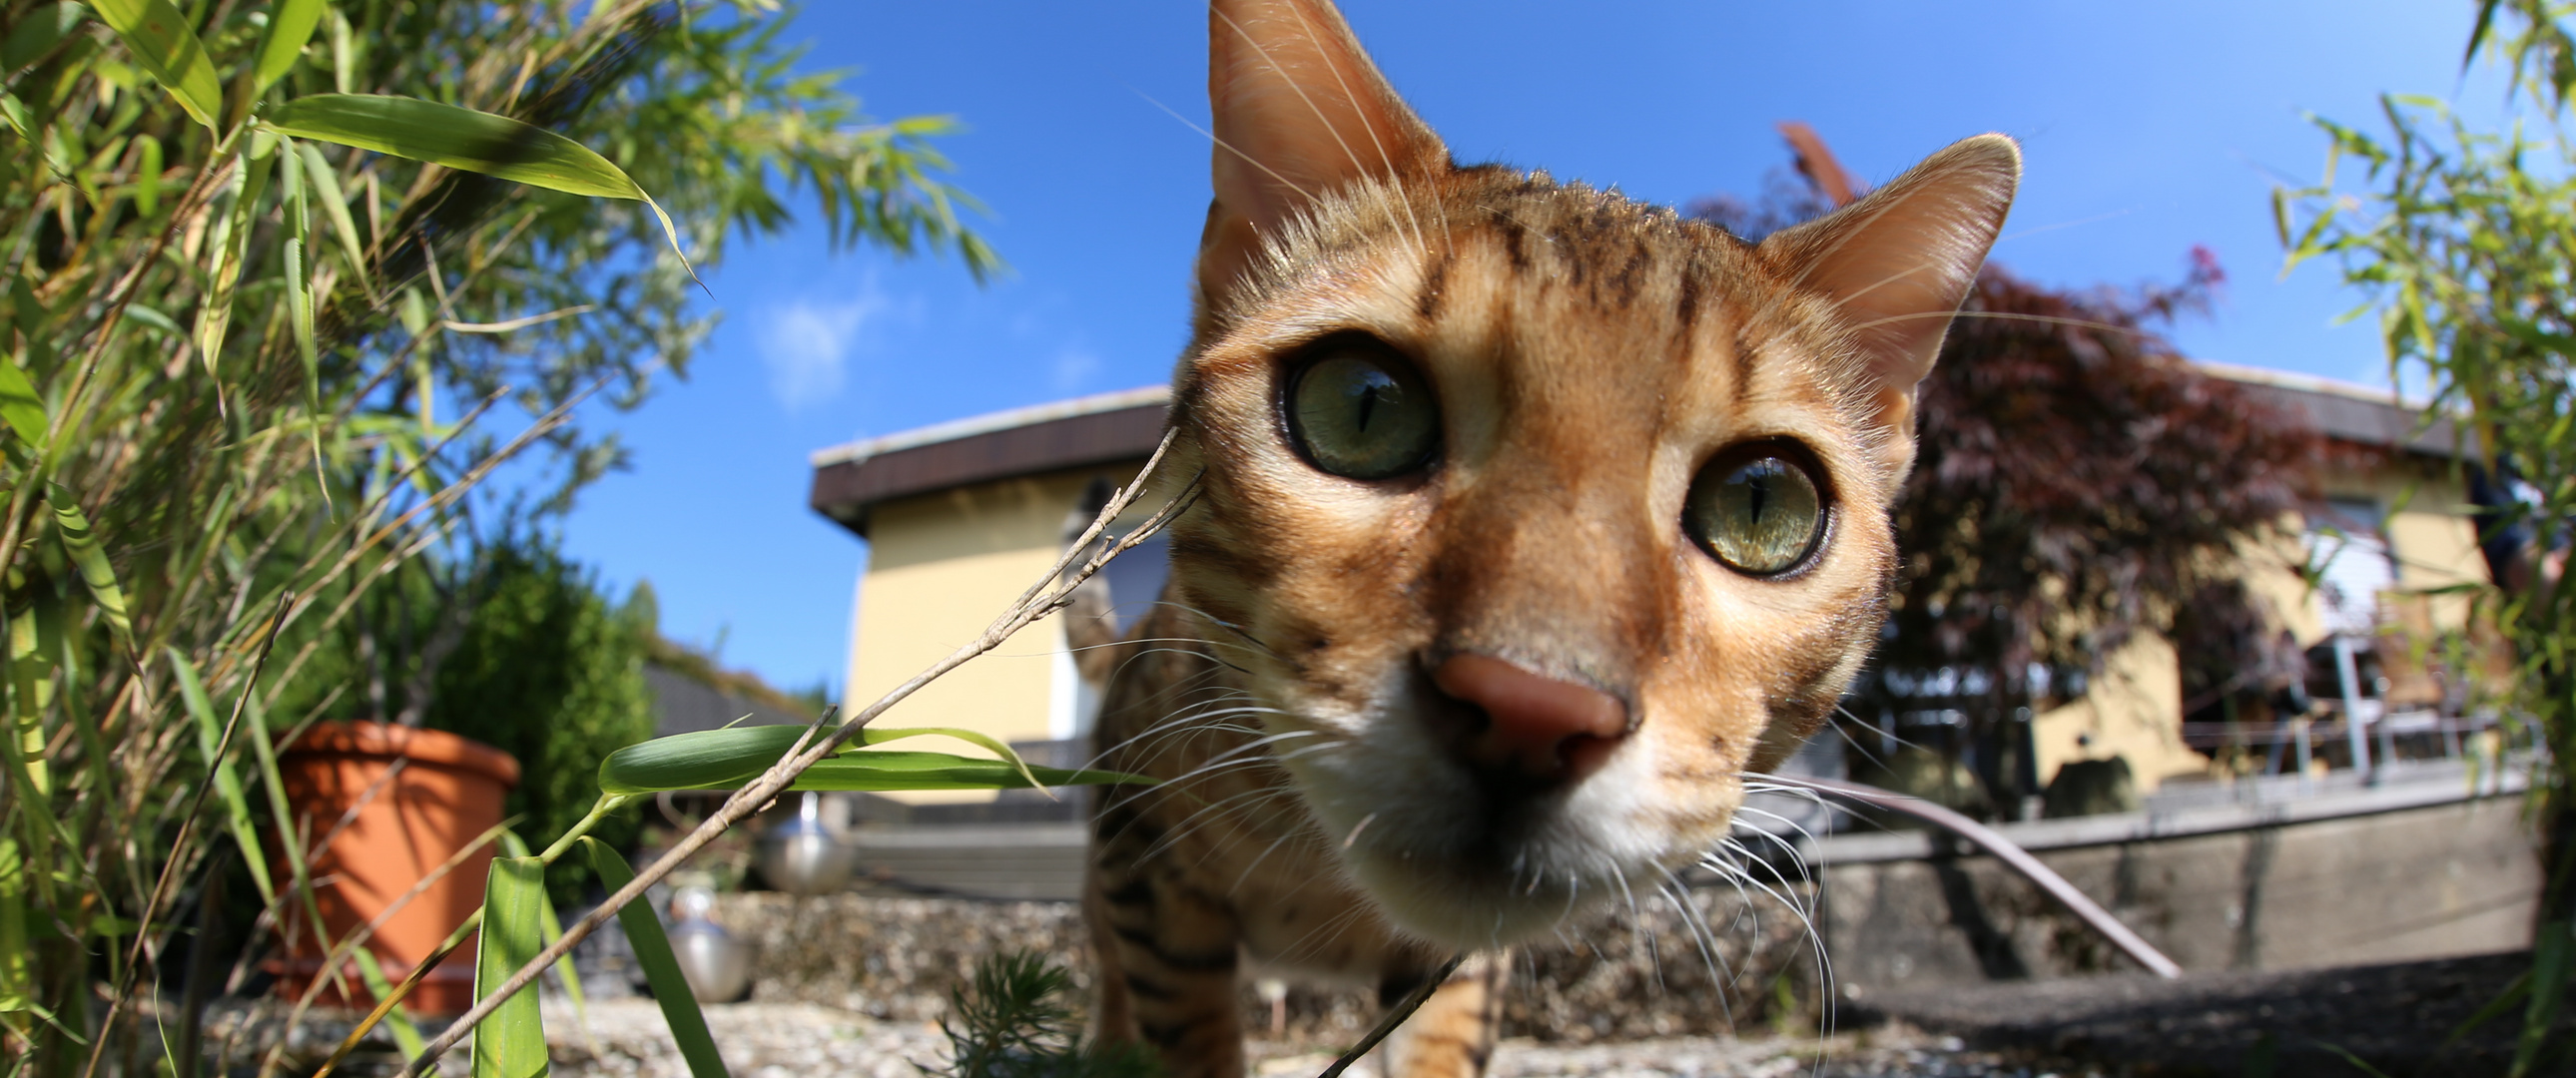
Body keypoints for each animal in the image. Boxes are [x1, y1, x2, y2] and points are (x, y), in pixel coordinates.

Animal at [1066, 4, 2009, 1075]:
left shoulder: (1452, 968)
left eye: (1763, 507)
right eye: (1360, 407)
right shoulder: (1147, 874)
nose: (1529, 709)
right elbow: (1180, 1030)